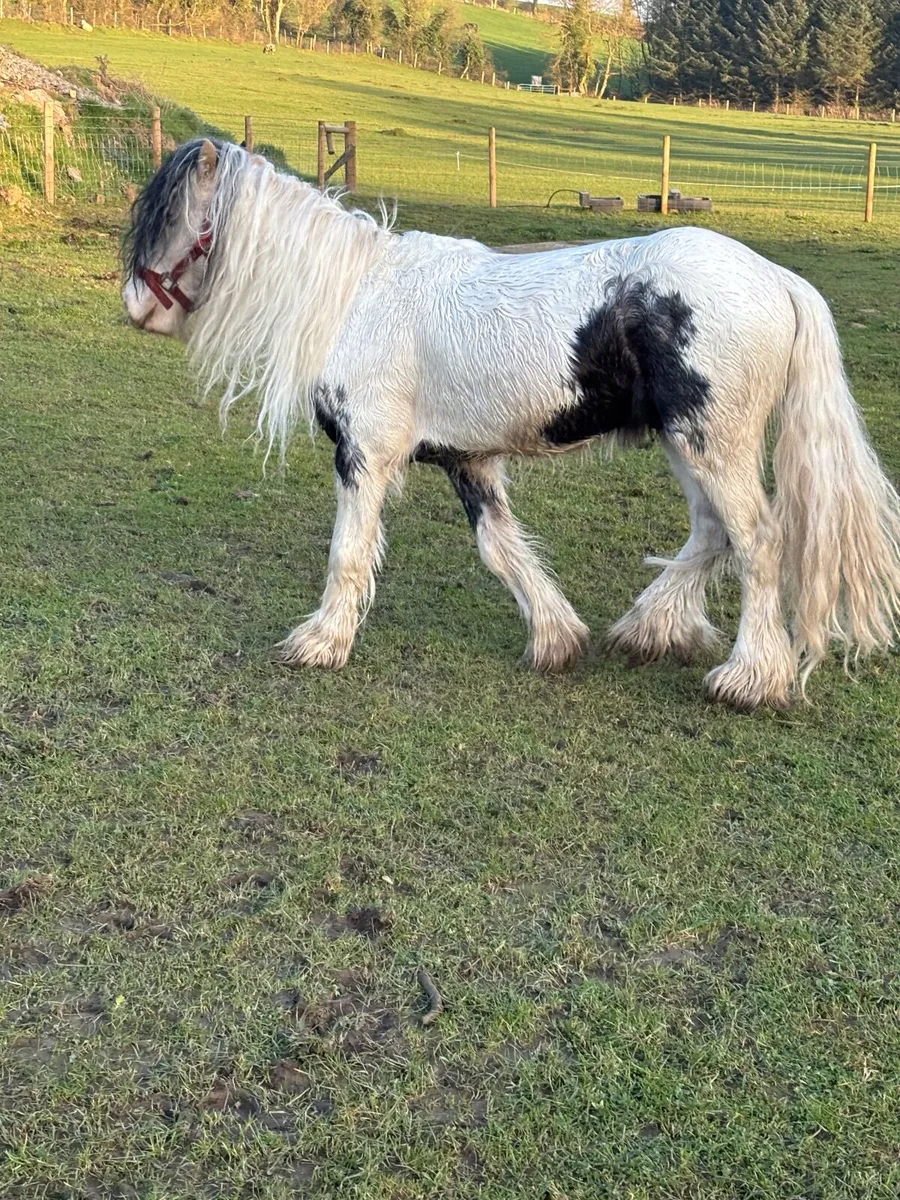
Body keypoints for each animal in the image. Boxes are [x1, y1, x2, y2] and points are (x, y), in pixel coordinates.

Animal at [122, 138, 900, 710]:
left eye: (171, 220)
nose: (134, 307)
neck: (356, 298)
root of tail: (779, 279)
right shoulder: (466, 459)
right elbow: (502, 550)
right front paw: (557, 639)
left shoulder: (365, 455)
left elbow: (349, 551)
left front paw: (320, 643)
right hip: (687, 445)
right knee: (712, 534)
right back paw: (648, 630)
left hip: (714, 442)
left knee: (759, 541)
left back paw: (749, 679)